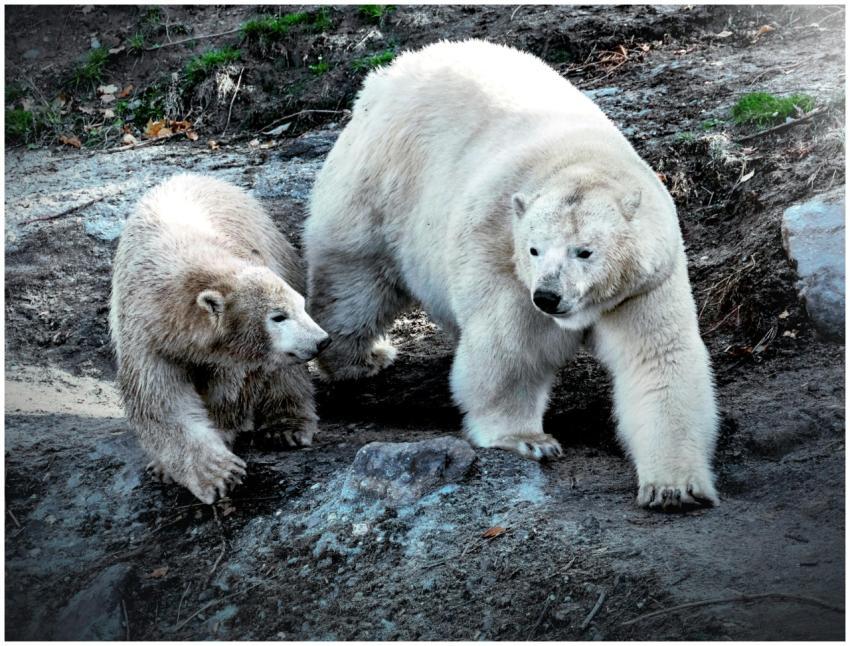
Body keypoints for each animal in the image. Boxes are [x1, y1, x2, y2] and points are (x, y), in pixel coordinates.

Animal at [110, 174, 330, 504]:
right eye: (278, 316)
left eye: (300, 306)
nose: (321, 340)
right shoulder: (146, 336)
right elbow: (161, 404)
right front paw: (210, 473)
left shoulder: (235, 354)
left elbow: (231, 389)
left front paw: (223, 449)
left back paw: (286, 427)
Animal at [303, 40, 719, 510]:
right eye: (534, 249)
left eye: (585, 251)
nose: (549, 297)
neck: (579, 160)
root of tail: (390, 72)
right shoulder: (503, 254)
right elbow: (512, 347)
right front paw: (528, 439)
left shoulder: (644, 283)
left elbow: (659, 359)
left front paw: (674, 488)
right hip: (380, 182)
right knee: (355, 279)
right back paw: (359, 358)